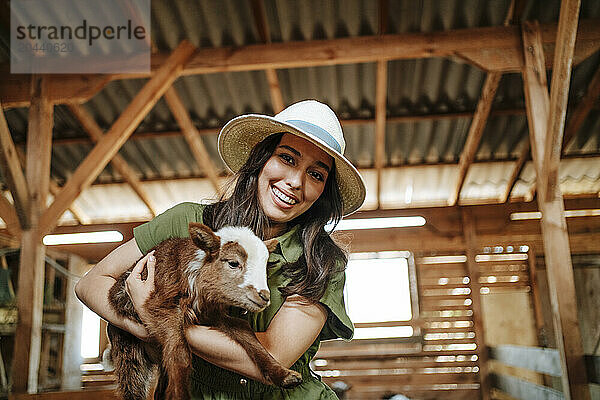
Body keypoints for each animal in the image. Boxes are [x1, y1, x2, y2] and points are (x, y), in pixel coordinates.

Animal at [107, 225, 302, 400]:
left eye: (265, 267)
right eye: (233, 263)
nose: (264, 296)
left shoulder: (212, 314)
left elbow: (245, 331)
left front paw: (285, 375)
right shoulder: (160, 304)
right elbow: (179, 352)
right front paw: (179, 394)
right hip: (127, 348)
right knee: (132, 385)